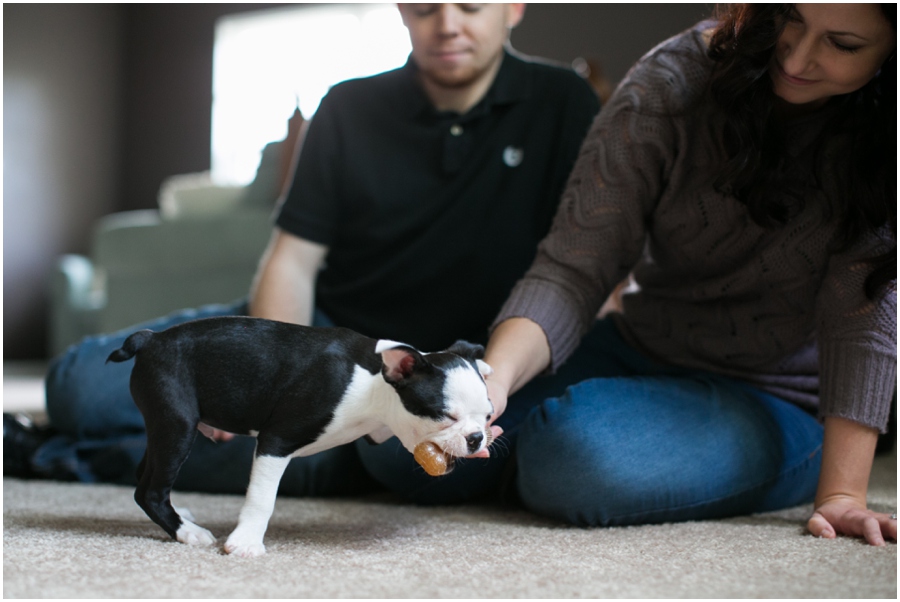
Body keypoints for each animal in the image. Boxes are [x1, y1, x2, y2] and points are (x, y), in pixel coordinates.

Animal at [110, 316, 500, 556]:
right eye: (445, 416)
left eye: (488, 415)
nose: (476, 438)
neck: (373, 381)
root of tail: (151, 339)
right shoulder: (276, 441)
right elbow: (261, 499)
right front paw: (246, 543)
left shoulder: (378, 431)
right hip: (177, 424)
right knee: (151, 490)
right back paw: (187, 532)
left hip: (165, 427)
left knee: (145, 477)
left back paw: (182, 517)